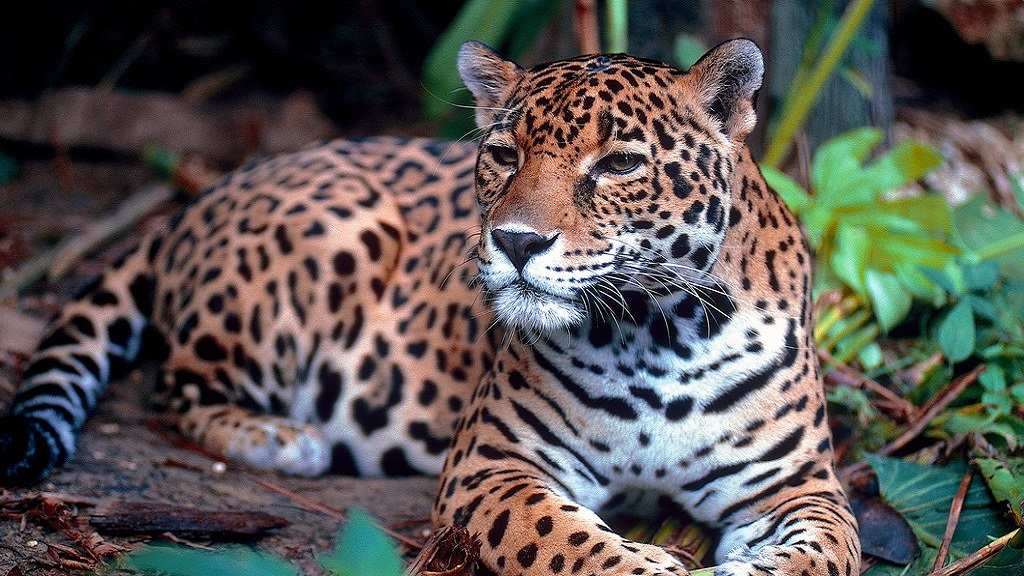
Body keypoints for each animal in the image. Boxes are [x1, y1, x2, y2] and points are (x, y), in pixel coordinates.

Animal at [1, 39, 860, 575]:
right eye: (504, 154)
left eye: (619, 164)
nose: (516, 240)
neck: (655, 332)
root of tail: (196, 199)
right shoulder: (493, 466)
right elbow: (568, 543)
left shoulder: (801, 487)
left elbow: (826, 553)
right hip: (337, 228)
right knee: (175, 385)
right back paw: (282, 438)